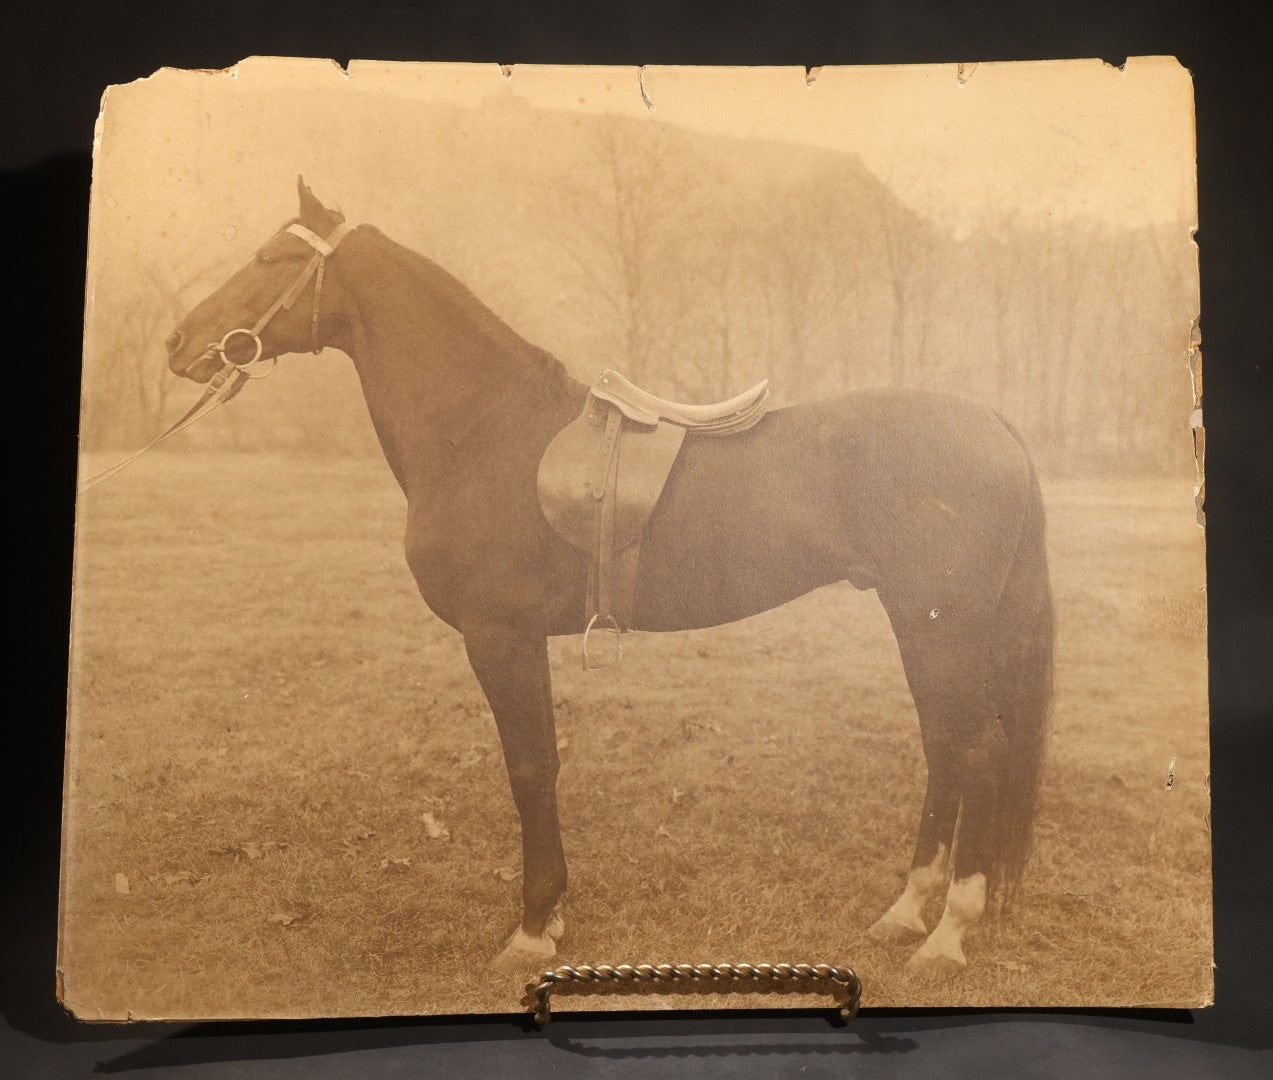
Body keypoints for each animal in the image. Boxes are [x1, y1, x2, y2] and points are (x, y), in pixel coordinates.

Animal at [163, 178, 1054, 977]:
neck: (481, 429)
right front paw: (552, 919)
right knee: (945, 745)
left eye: (271, 258)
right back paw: (905, 911)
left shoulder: (501, 636)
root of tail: (995, 421)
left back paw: (945, 936)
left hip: (938, 622)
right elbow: (544, 764)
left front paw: (531, 929)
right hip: (920, 622)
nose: (178, 343)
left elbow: (529, 769)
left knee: (976, 750)